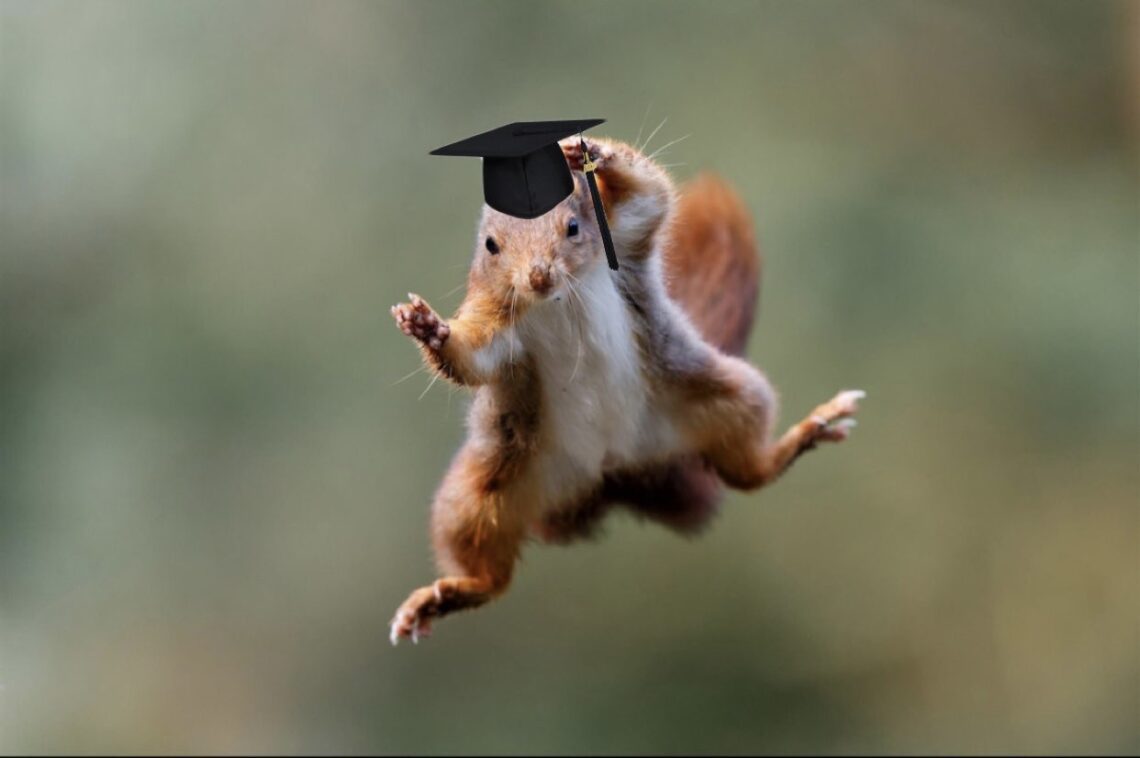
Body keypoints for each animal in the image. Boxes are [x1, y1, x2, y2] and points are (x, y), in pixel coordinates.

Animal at [388, 136, 863, 644]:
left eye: (574, 226)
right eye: (491, 246)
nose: (538, 276)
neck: (557, 299)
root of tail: (611, 472)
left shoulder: (625, 238)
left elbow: (651, 197)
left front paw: (590, 152)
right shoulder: (494, 320)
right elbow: (472, 360)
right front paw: (429, 329)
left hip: (724, 397)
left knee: (749, 472)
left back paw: (812, 428)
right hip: (483, 489)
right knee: (491, 575)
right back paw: (444, 596)